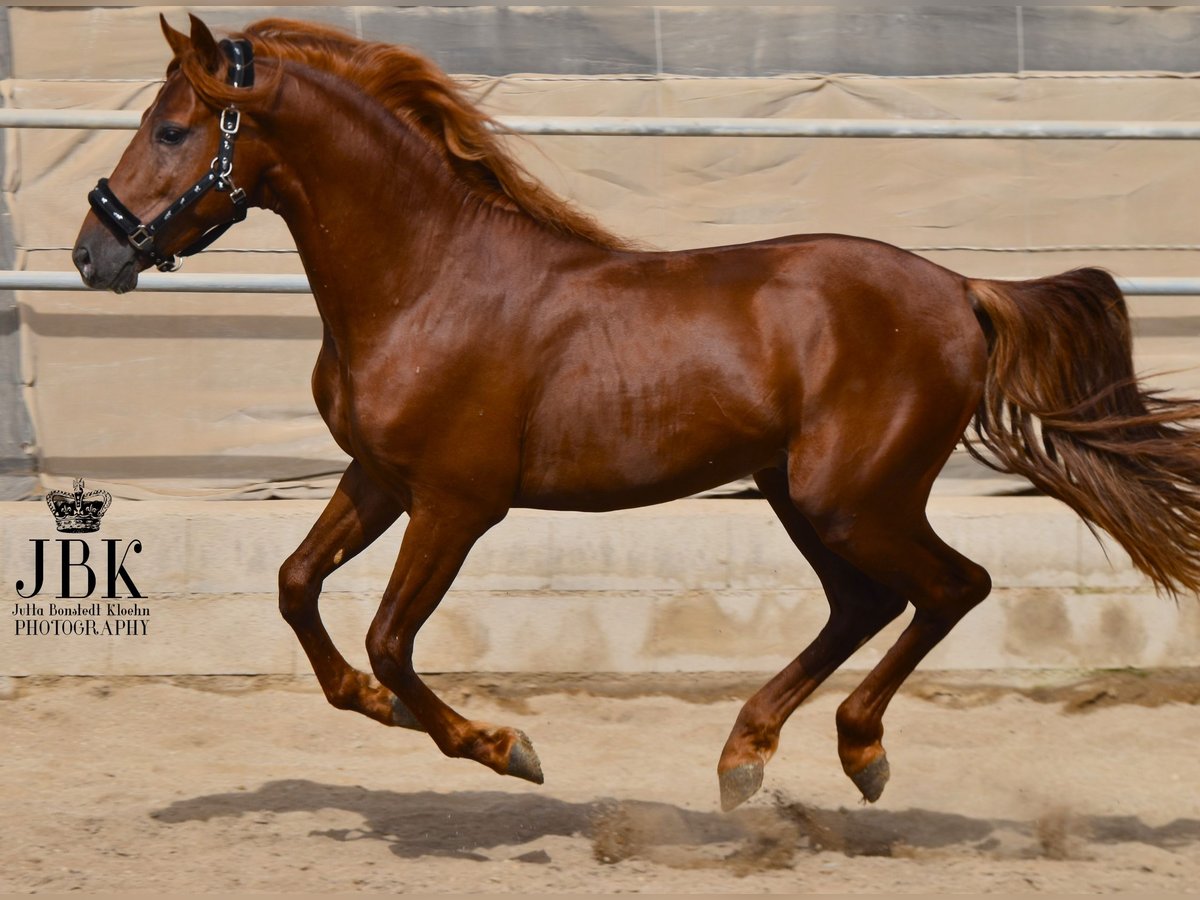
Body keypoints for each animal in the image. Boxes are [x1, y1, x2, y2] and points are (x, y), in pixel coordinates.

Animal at [72, 17, 1200, 816]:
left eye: (171, 129)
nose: (95, 253)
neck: (427, 278)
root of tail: (963, 289)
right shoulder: (380, 478)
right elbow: (297, 586)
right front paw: (380, 707)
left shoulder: (457, 503)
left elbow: (390, 639)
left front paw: (506, 749)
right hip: (799, 493)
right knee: (865, 602)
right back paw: (746, 758)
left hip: (852, 496)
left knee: (951, 587)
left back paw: (858, 751)